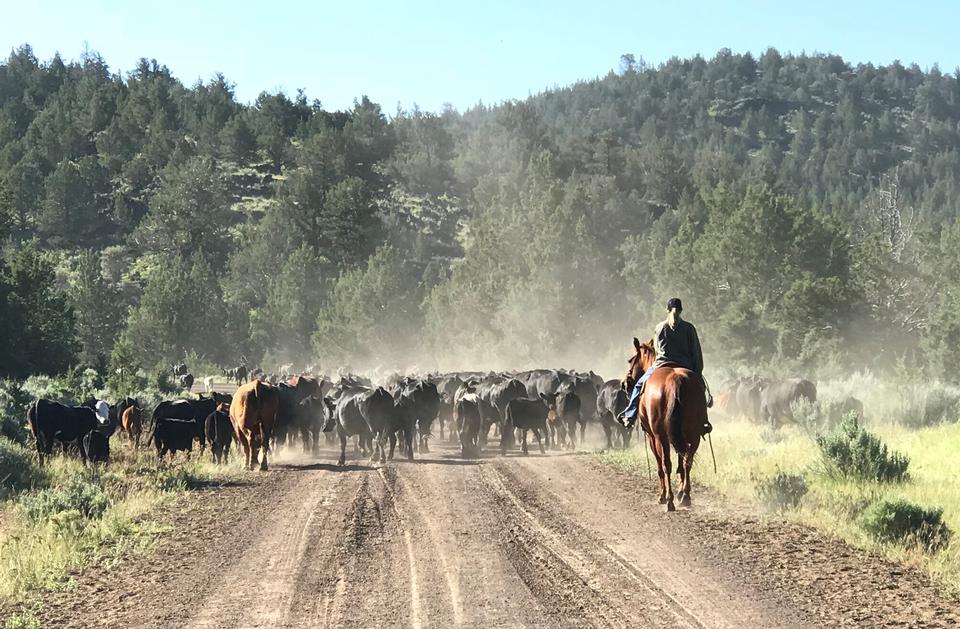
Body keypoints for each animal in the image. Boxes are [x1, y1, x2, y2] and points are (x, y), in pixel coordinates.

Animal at [628, 336, 708, 508]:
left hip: (661, 437)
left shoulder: (651, 437)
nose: (625, 383)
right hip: (694, 435)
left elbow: (660, 466)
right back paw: (685, 496)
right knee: (687, 461)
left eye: (630, 360)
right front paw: (680, 491)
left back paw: (669, 500)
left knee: (666, 465)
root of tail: (675, 380)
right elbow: (680, 463)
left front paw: (662, 496)